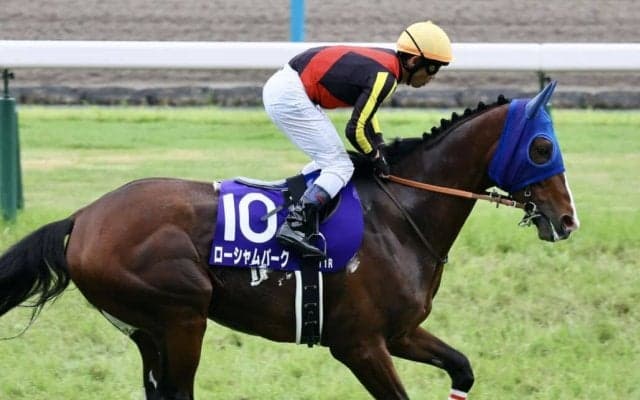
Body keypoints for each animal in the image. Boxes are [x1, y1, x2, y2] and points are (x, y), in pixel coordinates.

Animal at [0, 81, 579, 400]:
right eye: (543, 147)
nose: (568, 219)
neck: (399, 216)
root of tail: (83, 216)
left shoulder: (399, 332)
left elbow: (462, 367)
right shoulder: (359, 344)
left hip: (146, 330)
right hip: (182, 314)